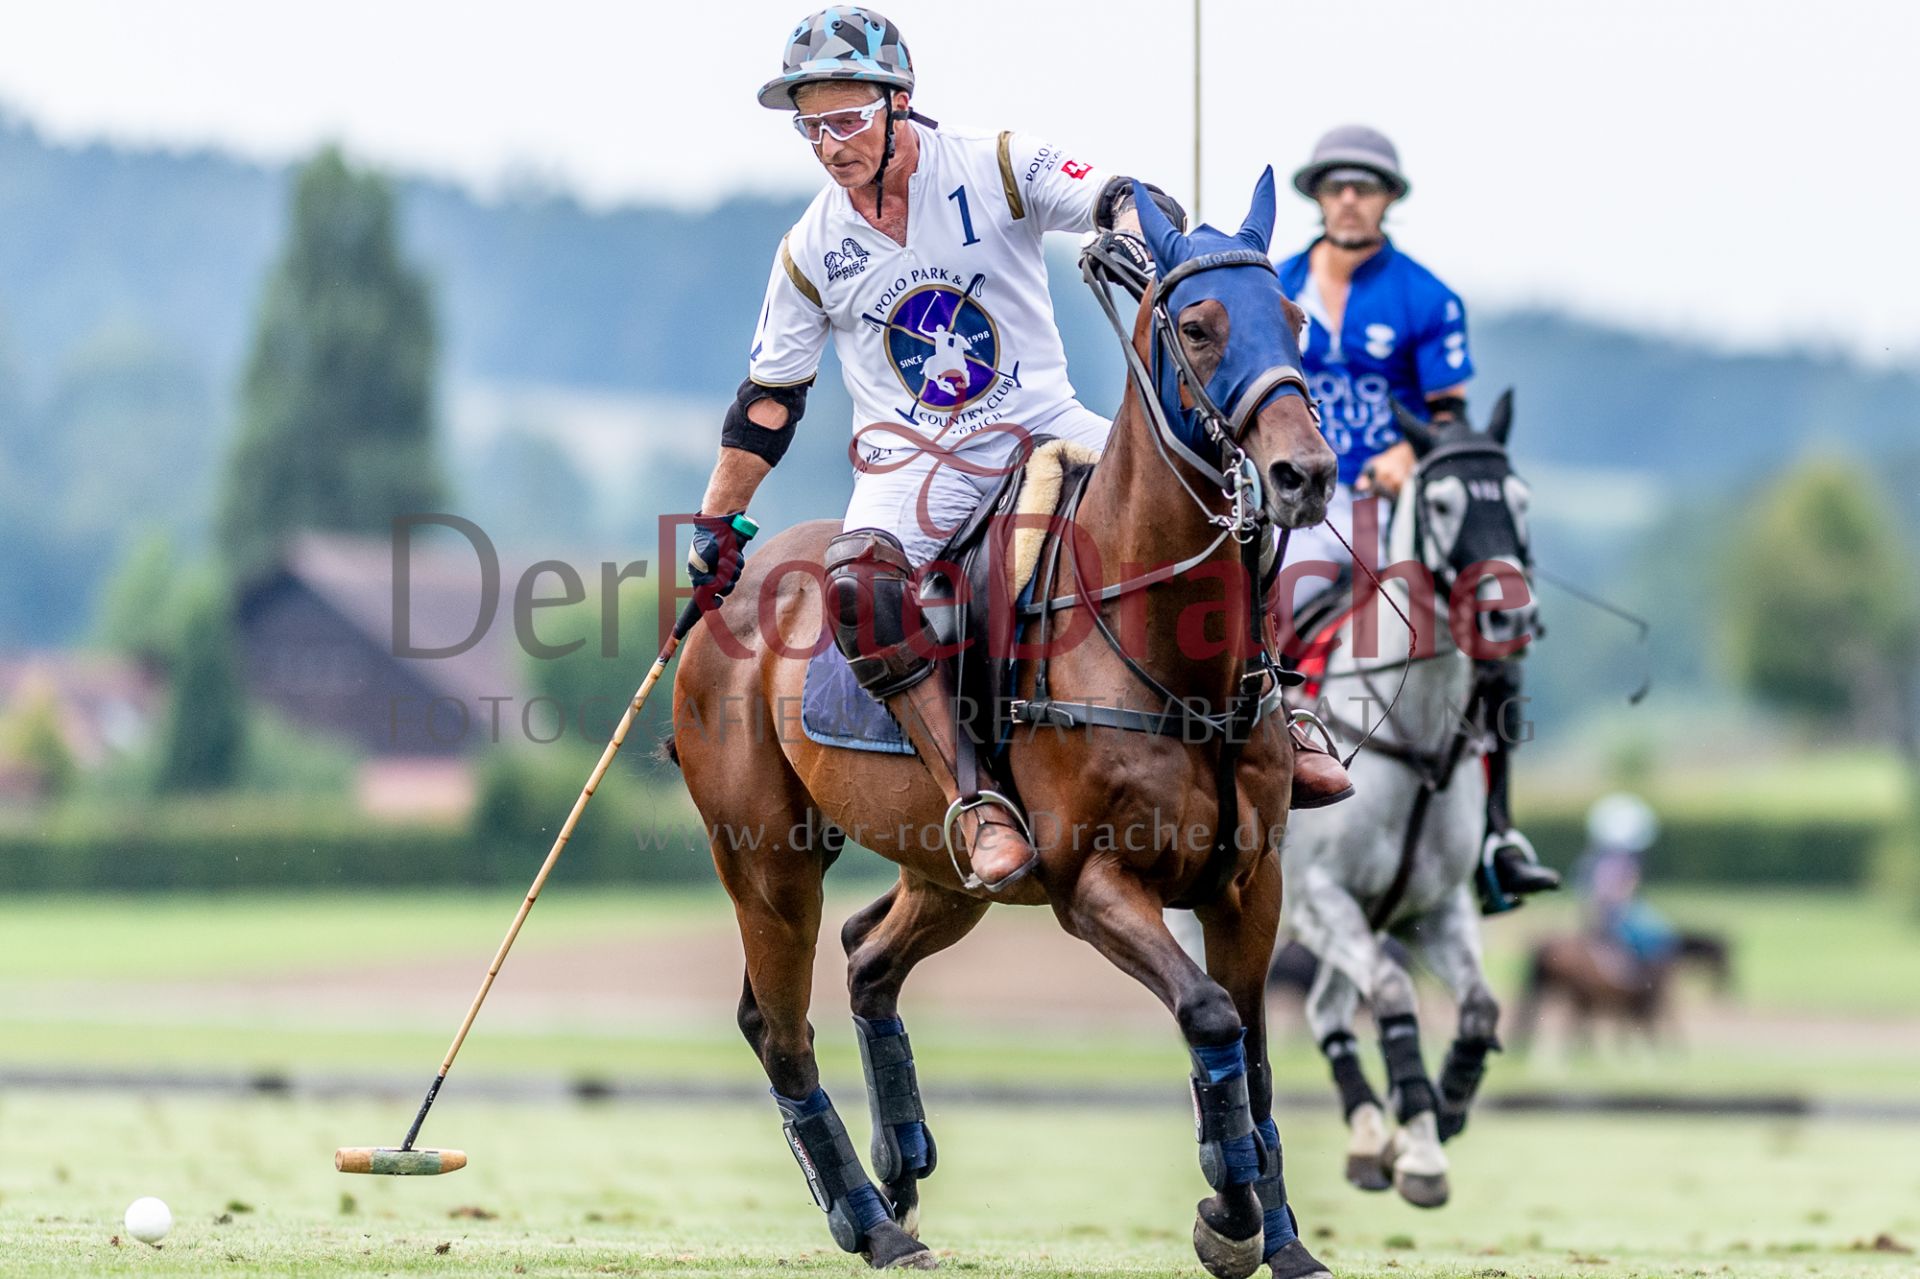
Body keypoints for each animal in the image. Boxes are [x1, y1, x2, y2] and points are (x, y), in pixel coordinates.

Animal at [669, 171, 1339, 1277]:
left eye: (1297, 320)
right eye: (1198, 328)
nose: (1305, 474)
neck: (1171, 647)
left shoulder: (1253, 882)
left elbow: (1254, 1055)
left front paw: (1281, 1238)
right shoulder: (1091, 882)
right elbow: (1208, 1016)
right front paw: (1228, 1214)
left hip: (947, 868)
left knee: (865, 956)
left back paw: (900, 1162)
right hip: (764, 855)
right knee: (780, 1025)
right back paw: (871, 1221)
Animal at [1272, 393, 1536, 1209]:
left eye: (1521, 499)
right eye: (1443, 503)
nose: (1511, 618)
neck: (1411, 730)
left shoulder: (1433, 908)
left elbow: (1480, 1007)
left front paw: (1442, 1112)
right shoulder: (1321, 897)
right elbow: (1391, 992)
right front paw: (1418, 1135)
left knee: (1325, 1007)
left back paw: (1366, 1136)